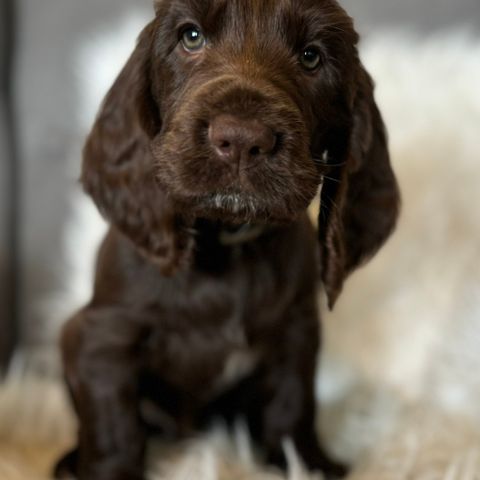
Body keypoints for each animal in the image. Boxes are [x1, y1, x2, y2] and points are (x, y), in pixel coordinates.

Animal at [54, 1, 400, 478]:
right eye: (191, 37)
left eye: (311, 56)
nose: (241, 139)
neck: (227, 241)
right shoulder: (101, 339)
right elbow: (114, 427)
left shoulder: (296, 329)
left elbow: (293, 403)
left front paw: (305, 462)